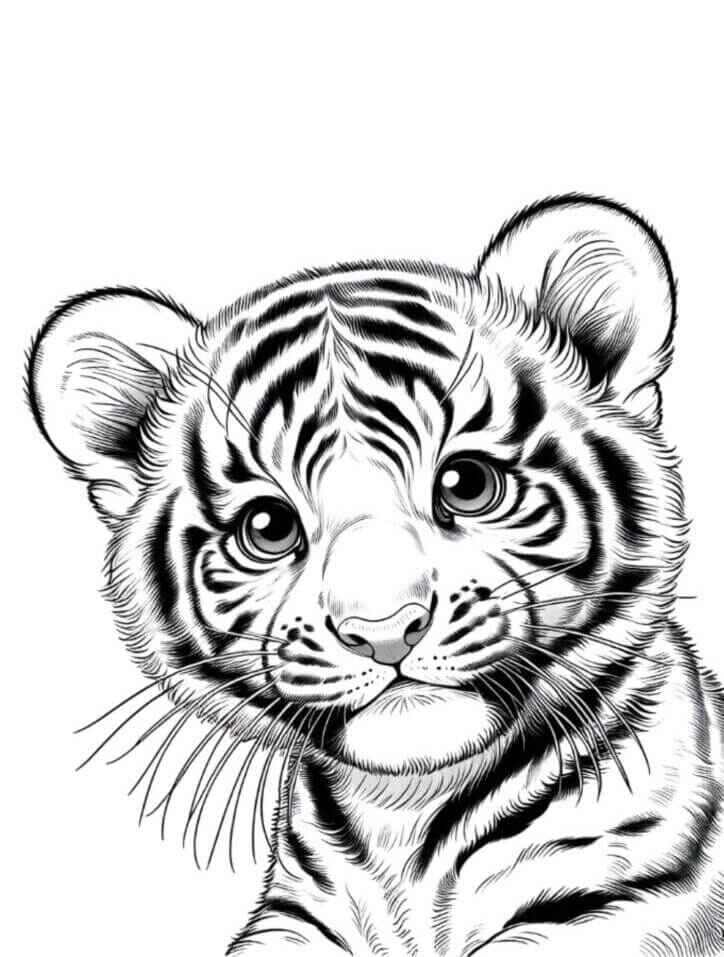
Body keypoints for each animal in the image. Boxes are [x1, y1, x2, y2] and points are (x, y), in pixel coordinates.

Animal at [27, 195, 724, 956]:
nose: (383, 630)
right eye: (267, 527)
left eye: (467, 482)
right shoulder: (295, 919)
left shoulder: (621, 903)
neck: (405, 822)